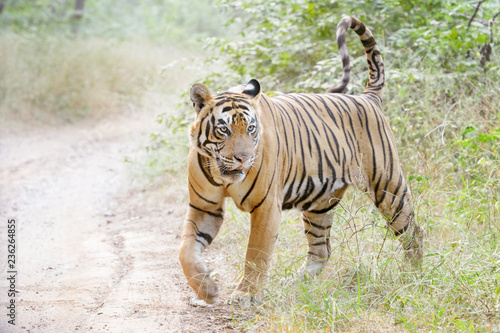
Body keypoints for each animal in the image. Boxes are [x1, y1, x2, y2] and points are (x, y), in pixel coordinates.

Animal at [178, 16, 424, 304]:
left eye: (251, 128)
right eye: (224, 129)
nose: (243, 159)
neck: (222, 175)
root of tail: (367, 97)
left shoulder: (266, 206)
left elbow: (255, 252)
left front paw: (245, 294)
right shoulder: (204, 206)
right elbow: (186, 248)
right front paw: (205, 288)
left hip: (387, 187)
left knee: (414, 232)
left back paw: (415, 278)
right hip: (319, 203)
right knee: (321, 249)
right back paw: (294, 285)